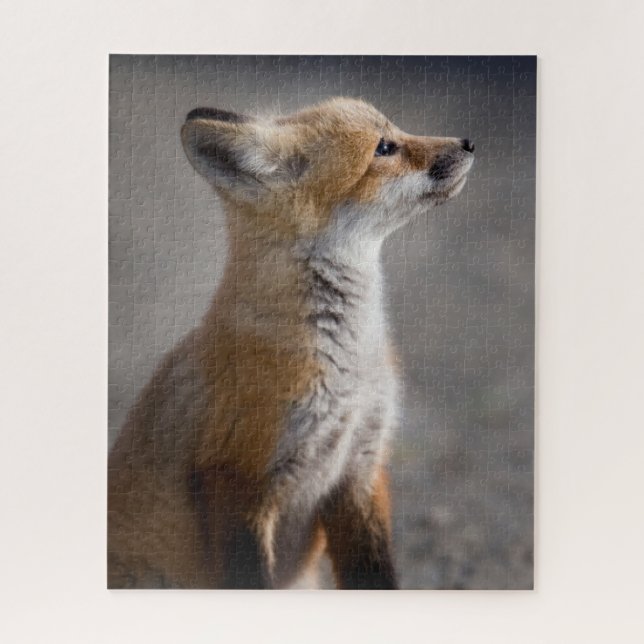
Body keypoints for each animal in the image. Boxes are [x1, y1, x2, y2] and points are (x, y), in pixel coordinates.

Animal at [108, 97, 474, 589]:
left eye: (395, 130)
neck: (347, 372)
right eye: (383, 148)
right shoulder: (239, 482)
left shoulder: (362, 465)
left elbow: (375, 573)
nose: (468, 142)